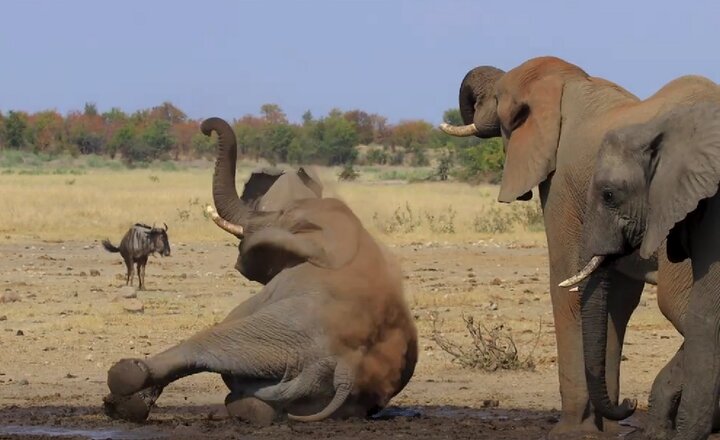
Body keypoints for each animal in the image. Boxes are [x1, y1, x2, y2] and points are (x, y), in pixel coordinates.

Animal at [100, 117, 416, 426]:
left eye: (281, 215)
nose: (205, 128)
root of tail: (345, 371)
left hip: (282, 332)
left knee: (206, 344)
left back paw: (124, 383)